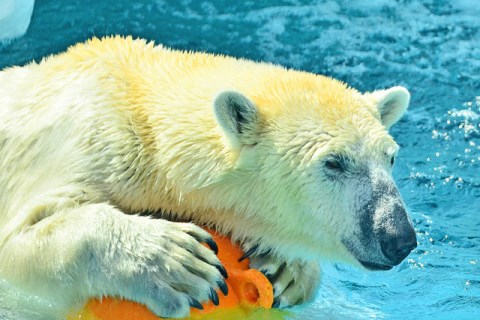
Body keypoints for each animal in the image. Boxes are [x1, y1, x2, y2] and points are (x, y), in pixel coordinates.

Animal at [0, 37, 416, 318]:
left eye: (390, 157)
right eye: (334, 163)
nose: (398, 238)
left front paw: (286, 269)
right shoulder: (80, 144)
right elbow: (21, 239)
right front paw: (178, 262)